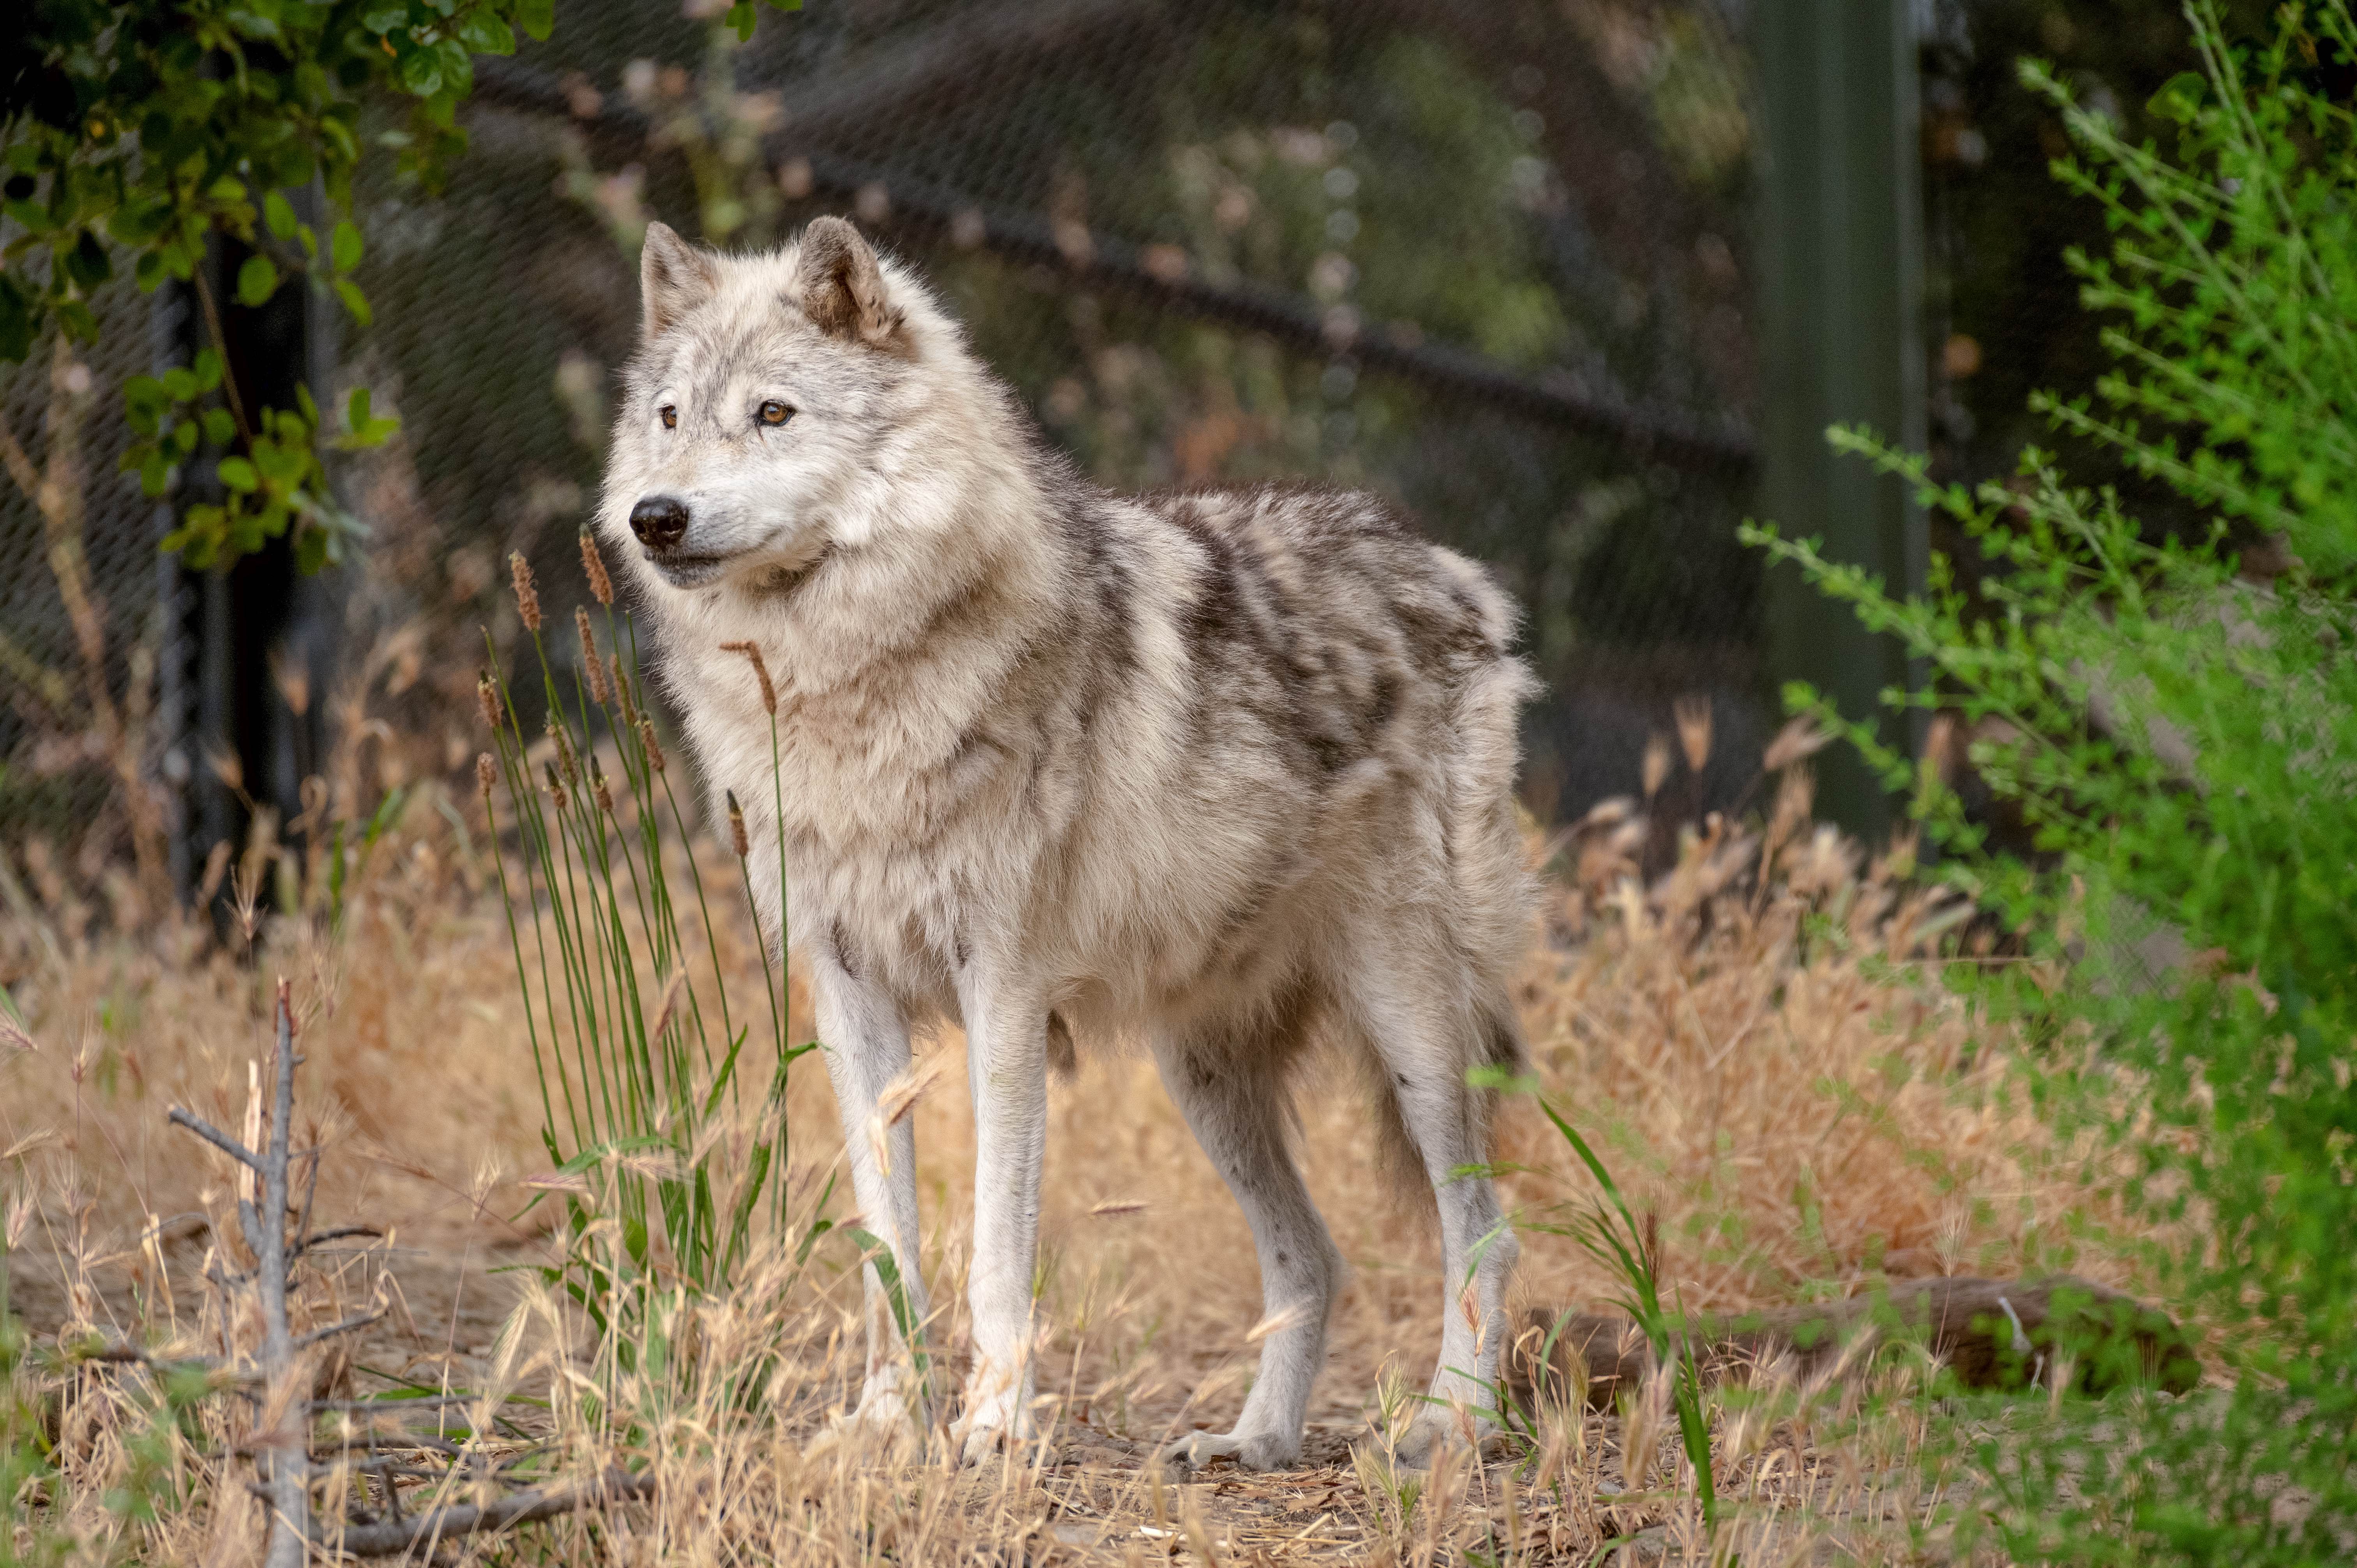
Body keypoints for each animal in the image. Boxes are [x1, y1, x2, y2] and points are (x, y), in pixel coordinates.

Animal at [597, 216, 1538, 1470]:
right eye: (669, 417)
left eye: (774, 414)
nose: (655, 516)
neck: (846, 687)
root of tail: (1450, 569)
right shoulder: (846, 996)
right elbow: (886, 1246)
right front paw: (887, 1424)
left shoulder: (1005, 996)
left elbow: (999, 1243)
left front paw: (994, 1427)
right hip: (1204, 1075)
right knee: (1315, 1255)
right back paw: (1254, 1442)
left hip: (1415, 1031)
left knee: (1482, 1232)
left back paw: (1450, 1426)